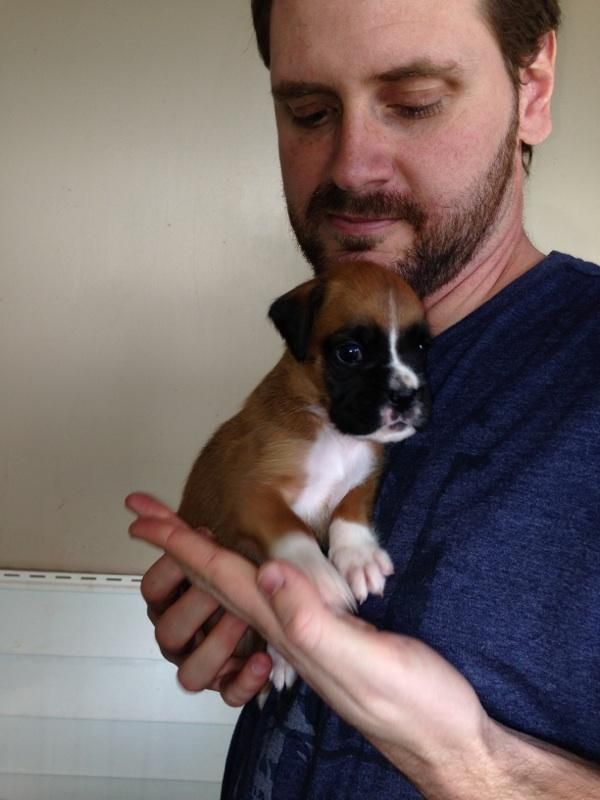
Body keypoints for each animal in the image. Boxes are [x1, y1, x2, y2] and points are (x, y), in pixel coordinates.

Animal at [178, 260, 432, 688]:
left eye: (418, 348)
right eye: (351, 353)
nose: (405, 395)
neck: (333, 433)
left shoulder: (366, 475)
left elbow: (348, 511)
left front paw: (359, 557)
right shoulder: (251, 495)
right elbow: (291, 529)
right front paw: (317, 579)